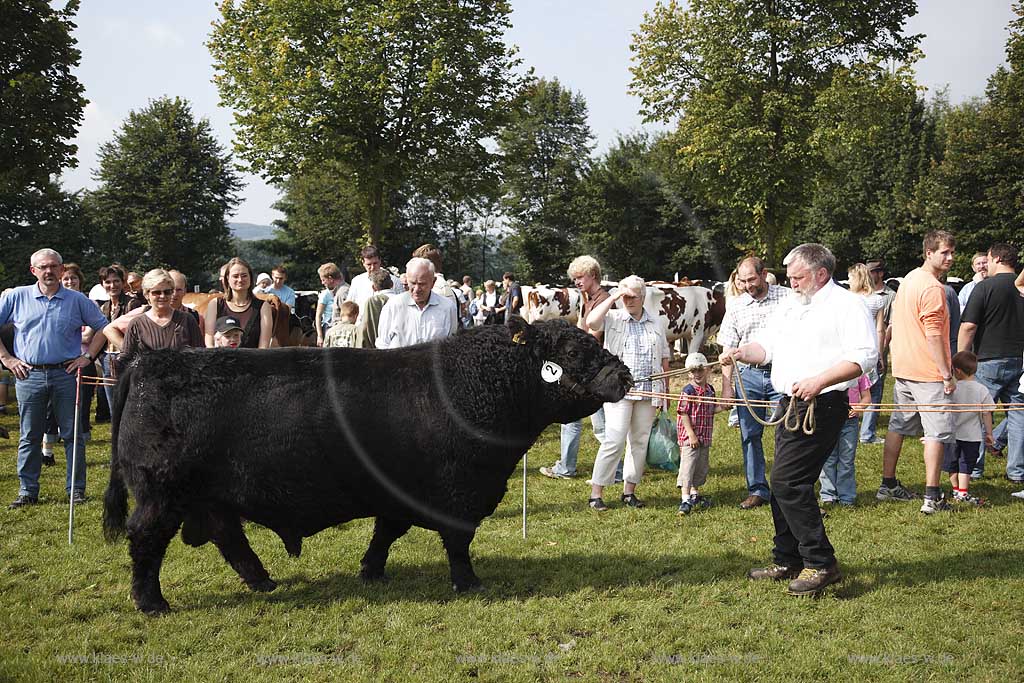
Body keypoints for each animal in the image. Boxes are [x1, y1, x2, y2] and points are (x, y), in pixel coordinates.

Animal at [103, 317, 630, 618]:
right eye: (570, 352)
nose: (623, 375)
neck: (477, 384)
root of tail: (150, 362)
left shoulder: (400, 493)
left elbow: (386, 533)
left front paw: (371, 571)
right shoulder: (460, 493)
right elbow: (457, 544)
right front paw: (469, 583)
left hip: (205, 496)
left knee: (227, 536)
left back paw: (263, 581)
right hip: (162, 494)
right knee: (147, 540)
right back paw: (152, 603)